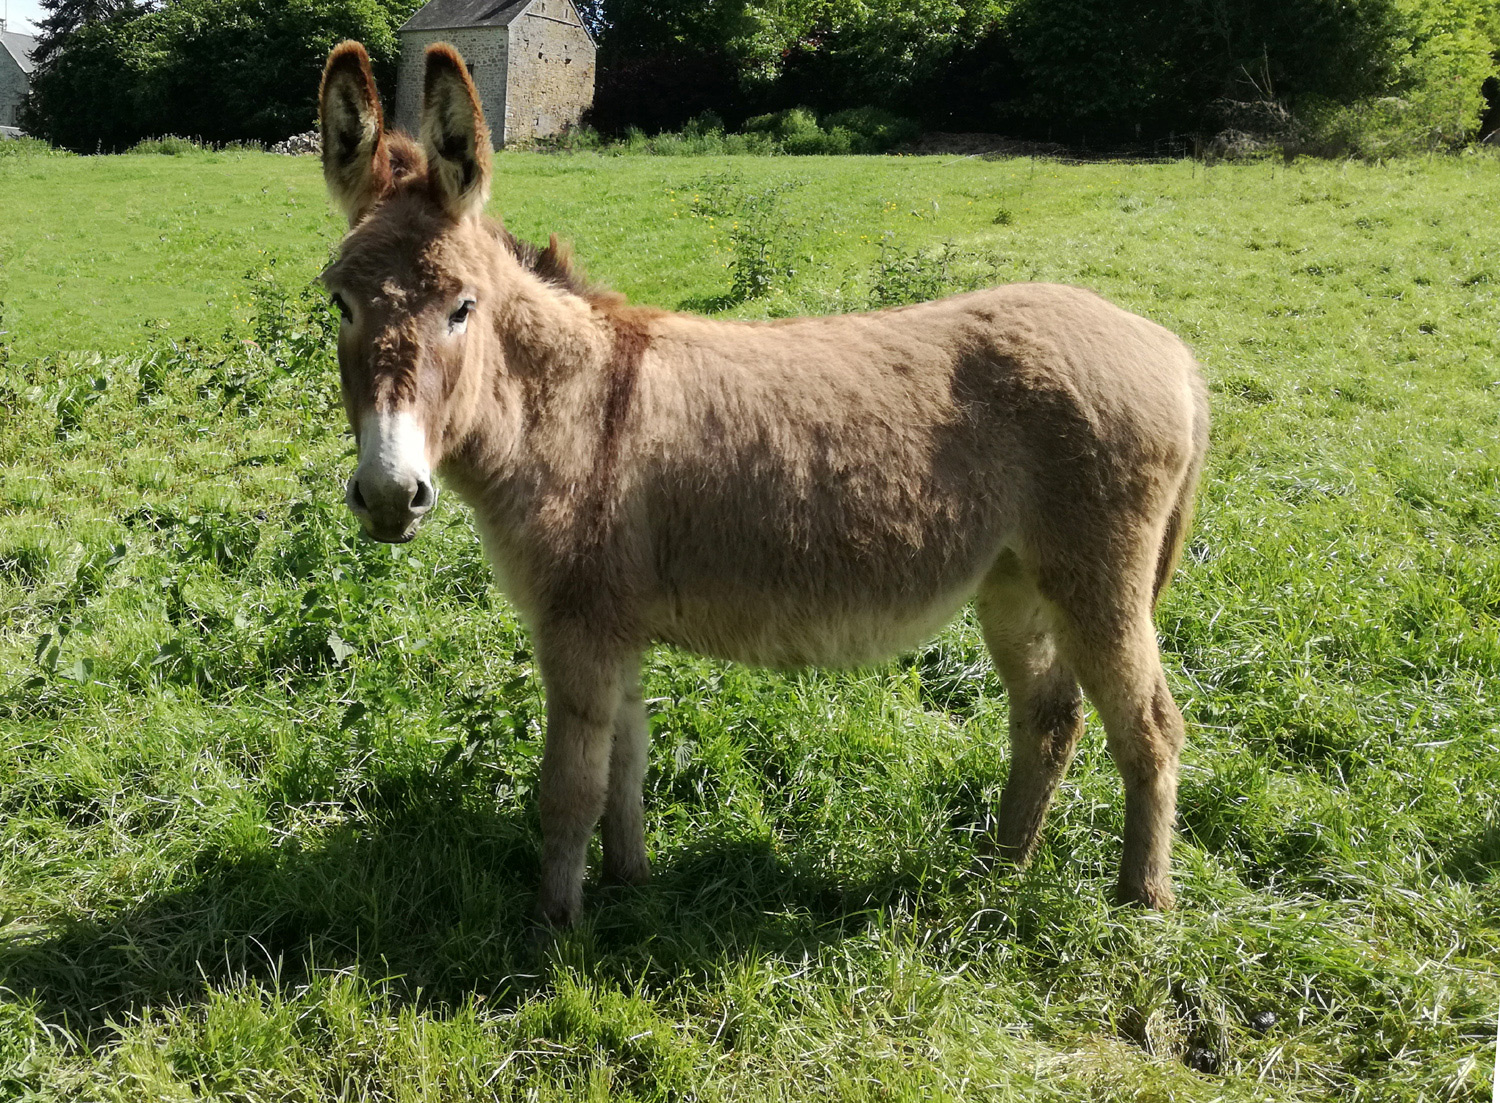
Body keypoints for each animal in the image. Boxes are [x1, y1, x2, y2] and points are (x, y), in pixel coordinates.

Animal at [316, 41, 1210, 926]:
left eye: (462, 307)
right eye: (339, 305)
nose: (391, 493)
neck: (570, 405)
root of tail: (1172, 349)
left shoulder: (578, 627)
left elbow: (568, 792)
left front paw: (554, 931)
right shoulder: (617, 626)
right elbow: (625, 770)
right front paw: (632, 887)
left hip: (1099, 580)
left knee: (1152, 728)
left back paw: (1142, 901)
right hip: (1016, 580)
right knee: (1050, 716)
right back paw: (1000, 870)